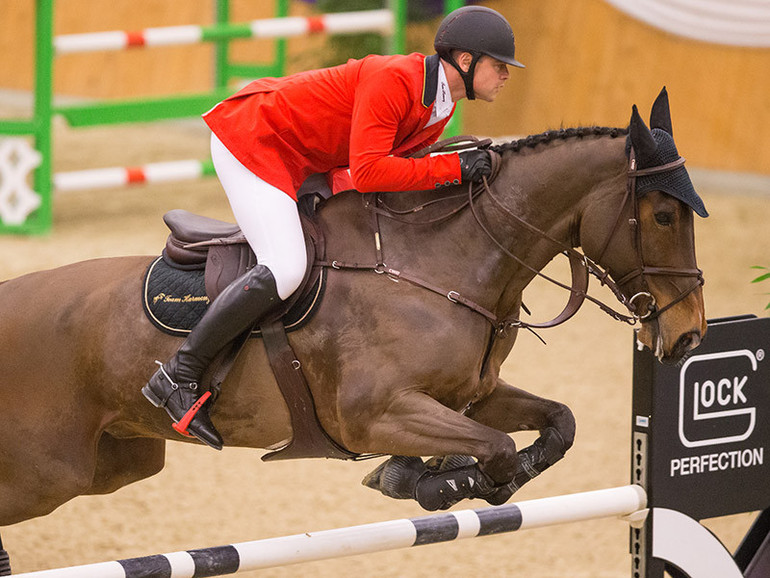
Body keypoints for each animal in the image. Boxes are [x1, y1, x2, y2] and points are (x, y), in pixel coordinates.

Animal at [0, 90, 704, 536]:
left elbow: (556, 425)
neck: (440, 262)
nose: (690, 334)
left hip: (114, 461)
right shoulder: (377, 413)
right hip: (46, 471)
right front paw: (427, 481)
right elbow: (496, 450)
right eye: (663, 216)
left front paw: (433, 476)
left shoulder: (470, 396)